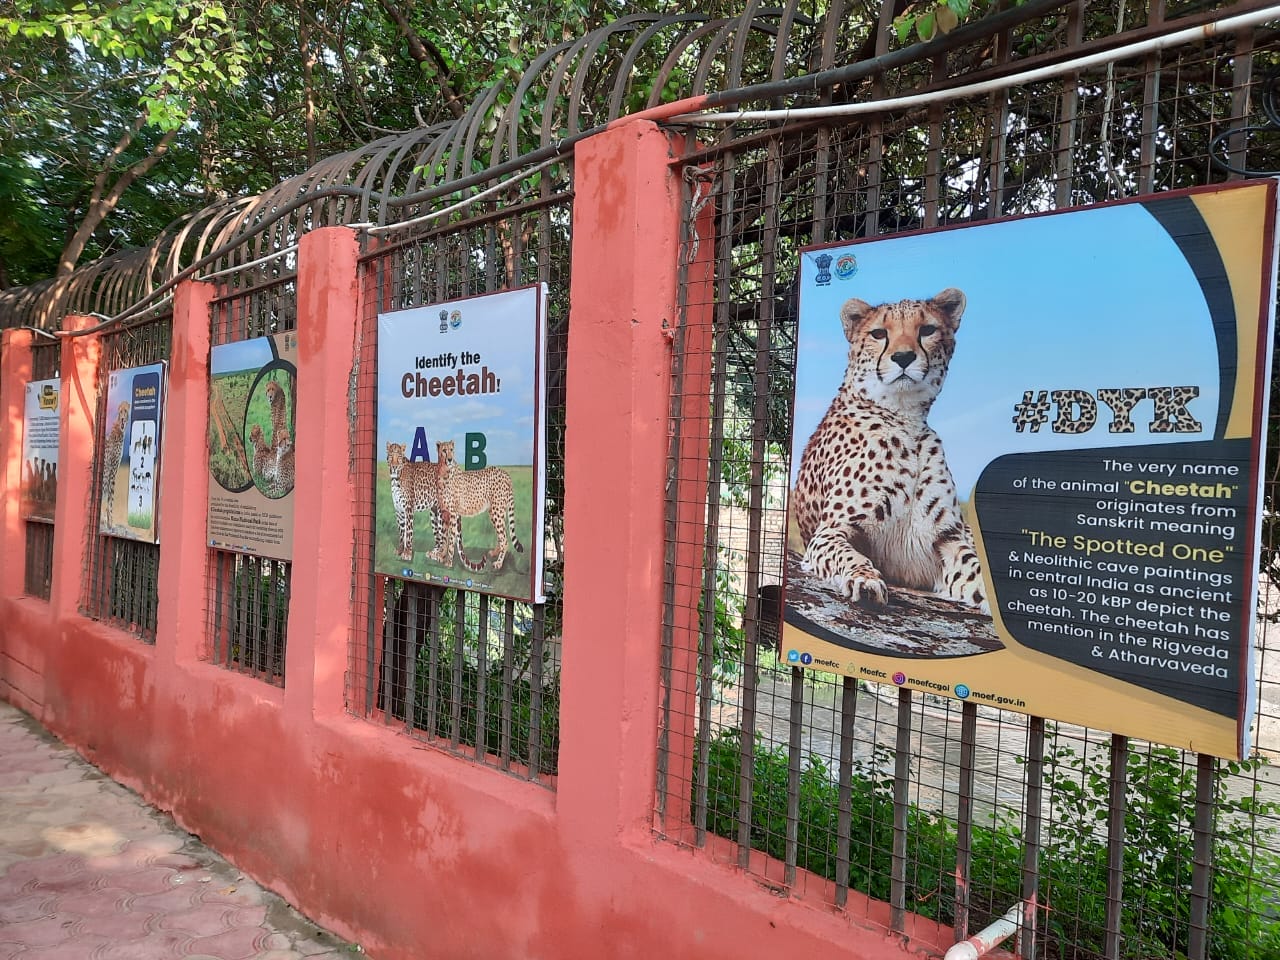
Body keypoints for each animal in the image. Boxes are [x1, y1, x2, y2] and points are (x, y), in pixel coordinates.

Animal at [385, 441, 482, 571]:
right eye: (391, 456)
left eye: (399, 457)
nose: (394, 466)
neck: (396, 478)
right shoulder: (398, 510)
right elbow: (401, 532)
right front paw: (400, 550)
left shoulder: (408, 509)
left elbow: (408, 532)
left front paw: (407, 553)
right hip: (433, 513)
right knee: (439, 538)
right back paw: (434, 553)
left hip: (442, 513)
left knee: (446, 535)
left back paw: (441, 557)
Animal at [433, 440, 525, 570]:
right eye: (444, 450)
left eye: (451, 450)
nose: (450, 459)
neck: (444, 471)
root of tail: (505, 473)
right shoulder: (445, 513)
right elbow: (444, 537)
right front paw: (441, 556)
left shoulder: (453, 514)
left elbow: (450, 539)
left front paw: (448, 562)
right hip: (494, 512)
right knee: (502, 535)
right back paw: (495, 553)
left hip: (497, 511)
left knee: (505, 540)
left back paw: (499, 563)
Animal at [792, 287, 987, 612]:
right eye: (879, 333)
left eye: (927, 330)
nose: (903, 357)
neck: (905, 419)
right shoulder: (830, 530)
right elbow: (849, 555)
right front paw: (865, 579)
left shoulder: (947, 539)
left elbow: (978, 572)